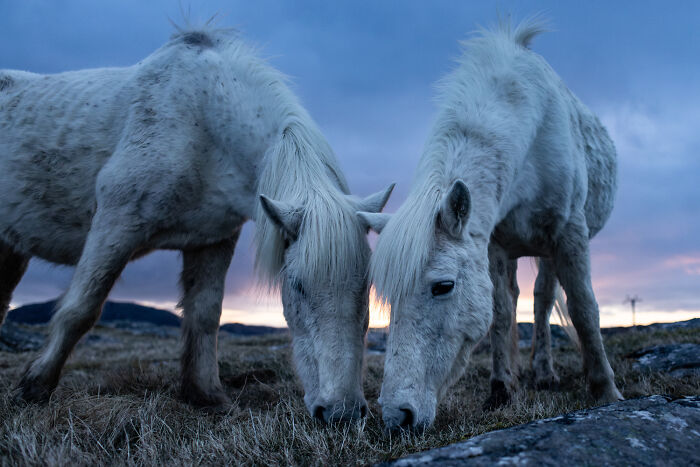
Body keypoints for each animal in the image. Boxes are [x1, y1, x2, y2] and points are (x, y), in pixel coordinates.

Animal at [0, 27, 393, 423]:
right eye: (297, 286)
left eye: (366, 287)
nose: (342, 413)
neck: (202, 122)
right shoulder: (116, 222)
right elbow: (81, 308)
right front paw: (34, 387)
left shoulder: (213, 240)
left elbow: (204, 314)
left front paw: (205, 394)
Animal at [359, 18, 622, 430]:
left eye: (443, 286)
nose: (397, 415)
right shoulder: (493, 246)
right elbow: (500, 313)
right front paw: (501, 391)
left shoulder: (569, 234)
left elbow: (583, 307)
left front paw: (606, 390)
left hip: (552, 248)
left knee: (546, 299)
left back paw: (550, 372)